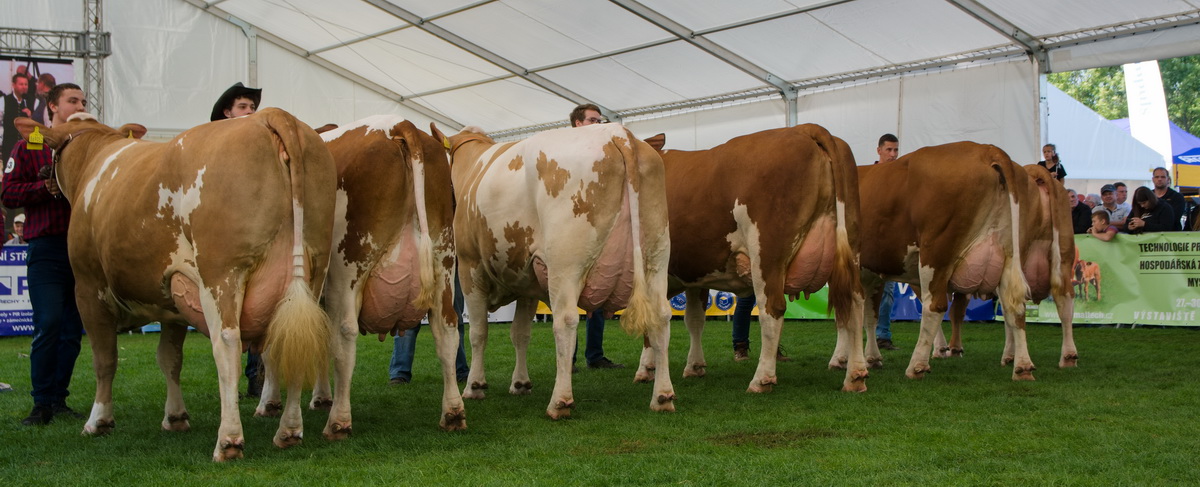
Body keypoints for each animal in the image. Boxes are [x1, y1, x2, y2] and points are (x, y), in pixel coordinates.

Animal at [16, 109, 338, 460]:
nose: (44, 176)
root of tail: (271, 115)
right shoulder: (173, 294)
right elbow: (169, 358)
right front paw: (175, 417)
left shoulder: (89, 287)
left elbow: (104, 359)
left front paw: (98, 421)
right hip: (312, 270)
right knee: (298, 338)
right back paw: (289, 431)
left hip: (221, 273)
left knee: (227, 344)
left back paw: (228, 440)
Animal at [295, 113, 463, 436]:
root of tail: (399, 124)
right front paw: (319, 397)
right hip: (444, 261)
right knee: (447, 329)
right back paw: (453, 413)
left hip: (348, 268)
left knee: (345, 334)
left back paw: (339, 421)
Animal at [434, 123, 676, 417]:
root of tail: (617, 132)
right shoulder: (527, 280)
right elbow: (520, 333)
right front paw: (520, 383)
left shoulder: (470, 267)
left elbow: (478, 332)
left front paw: (475, 386)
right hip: (656, 254)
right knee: (661, 316)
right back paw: (663, 396)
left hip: (566, 262)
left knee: (566, 321)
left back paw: (560, 401)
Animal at [638, 124, 873, 391]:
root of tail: (802, 129)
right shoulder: (696, 276)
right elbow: (695, 320)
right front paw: (694, 366)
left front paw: (646, 369)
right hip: (850, 247)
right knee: (855, 303)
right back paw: (855, 374)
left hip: (767, 253)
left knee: (772, 310)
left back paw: (762, 379)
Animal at [835, 140, 1041, 381]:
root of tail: (987, 149)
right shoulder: (872, 274)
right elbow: (869, 315)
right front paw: (871, 358)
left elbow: (845, 313)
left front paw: (841, 359)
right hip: (1012, 256)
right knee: (1015, 305)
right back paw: (1022, 366)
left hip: (935, 254)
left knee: (935, 306)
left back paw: (917, 365)